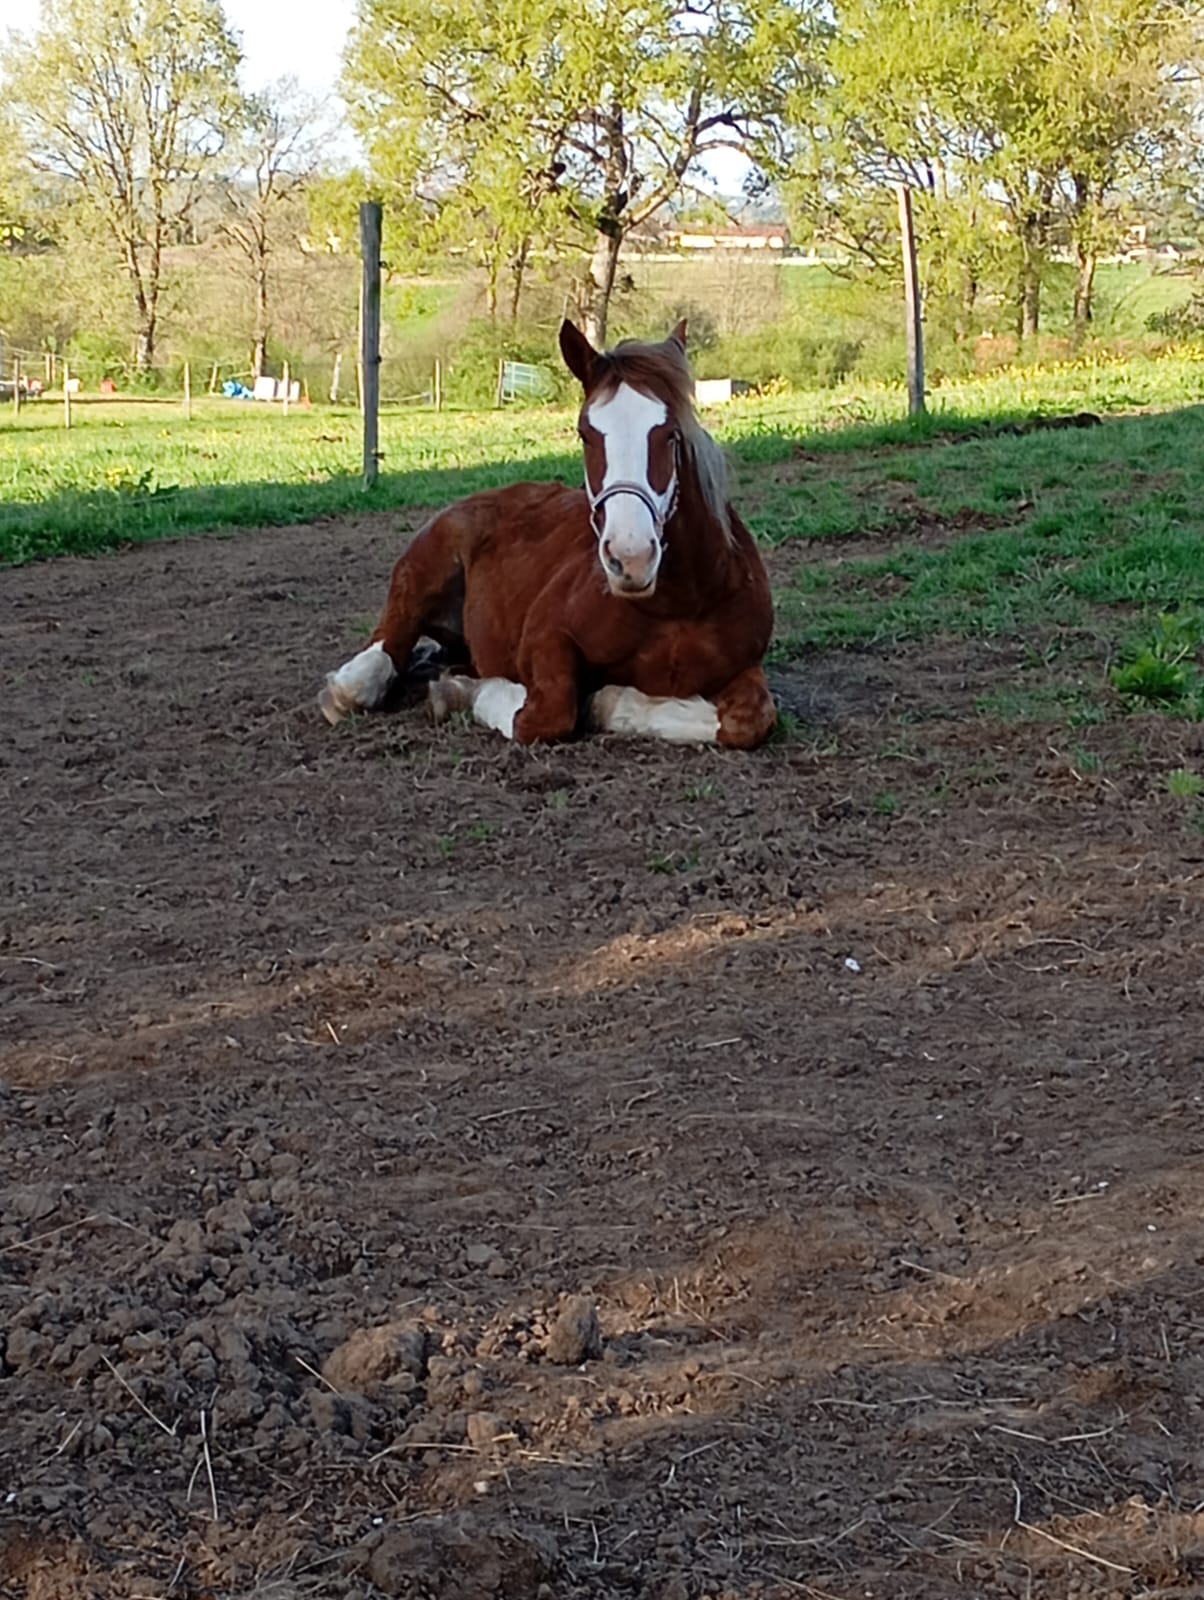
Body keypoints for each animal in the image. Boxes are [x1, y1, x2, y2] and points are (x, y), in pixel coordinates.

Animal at [318, 319, 777, 748]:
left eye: (669, 434)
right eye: (585, 434)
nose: (630, 559)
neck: (678, 606)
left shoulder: (746, 667)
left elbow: (749, 720)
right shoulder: (545, 637)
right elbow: (547, 714)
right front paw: (461, 691)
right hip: (415, 589)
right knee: (377, 661)